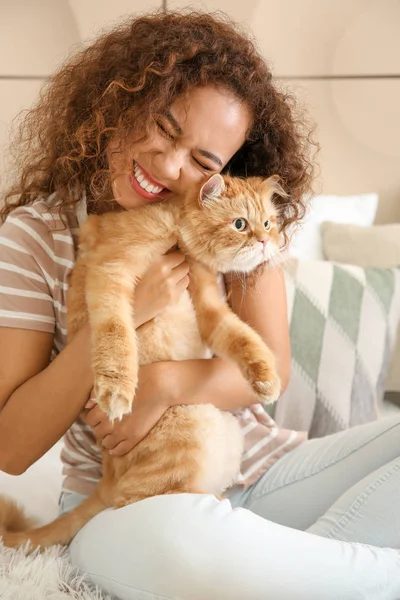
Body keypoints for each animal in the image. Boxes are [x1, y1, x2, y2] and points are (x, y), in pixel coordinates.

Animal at [1, 172, 286, 548]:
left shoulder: (211, 310)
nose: (267, 241)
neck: (176, 234)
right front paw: (117, 391)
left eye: (268, 223)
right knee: (143, 499)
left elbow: (243, 337)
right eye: (240, 224)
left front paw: (267, 380)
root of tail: (105, 483)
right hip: (190, 426)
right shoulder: (112, 273)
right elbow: (116, 335)